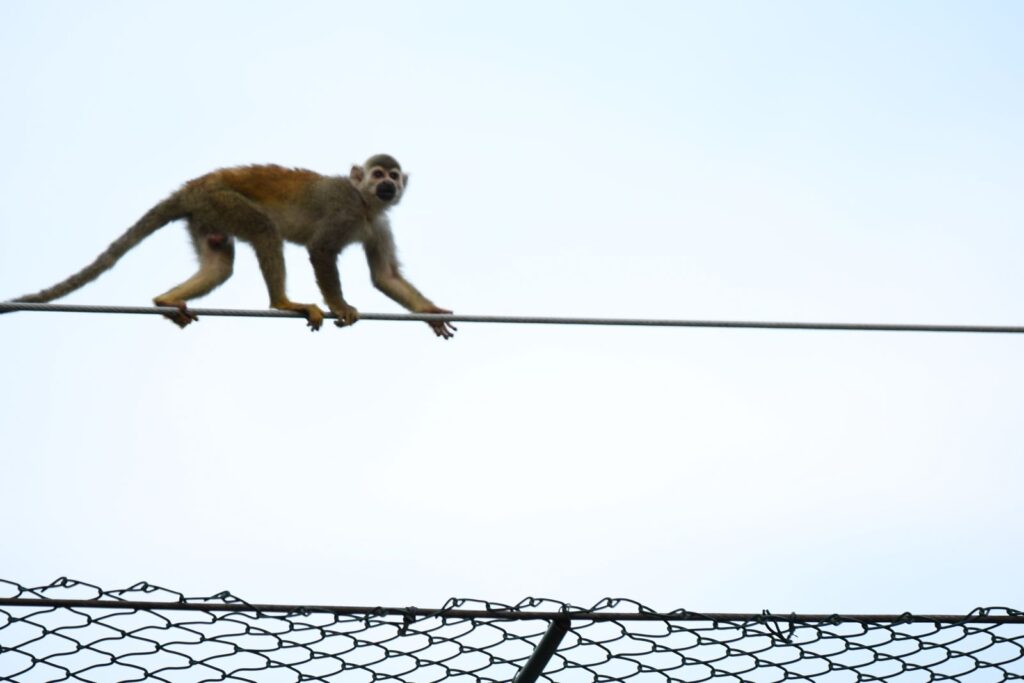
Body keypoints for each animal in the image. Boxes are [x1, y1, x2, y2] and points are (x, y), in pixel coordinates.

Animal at [8, 154, 456, 338]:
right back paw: (283, 304)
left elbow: (386, 276)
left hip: (207, 216)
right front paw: (340, 305)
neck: (365, 205)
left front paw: (430, 313)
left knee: (219, 264)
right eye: (378, 174)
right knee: (264, 230)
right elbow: (321, 250)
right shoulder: (343, 209)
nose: (388, 185)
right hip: (221, 200)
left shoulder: (378, 225)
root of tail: (190, 189)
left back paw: (166, 300)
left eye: (394, 177)